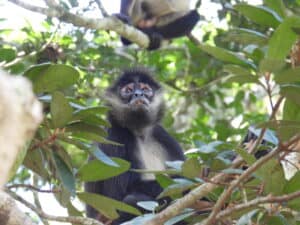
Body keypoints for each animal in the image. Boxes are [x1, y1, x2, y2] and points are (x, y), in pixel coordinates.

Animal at [84, 68, 185, 225]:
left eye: (145, 89)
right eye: (128, 90)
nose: (139, 94)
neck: (139, 132)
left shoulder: (160, 133)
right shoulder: (115, 135)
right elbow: (120, 194)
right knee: (132, 200)